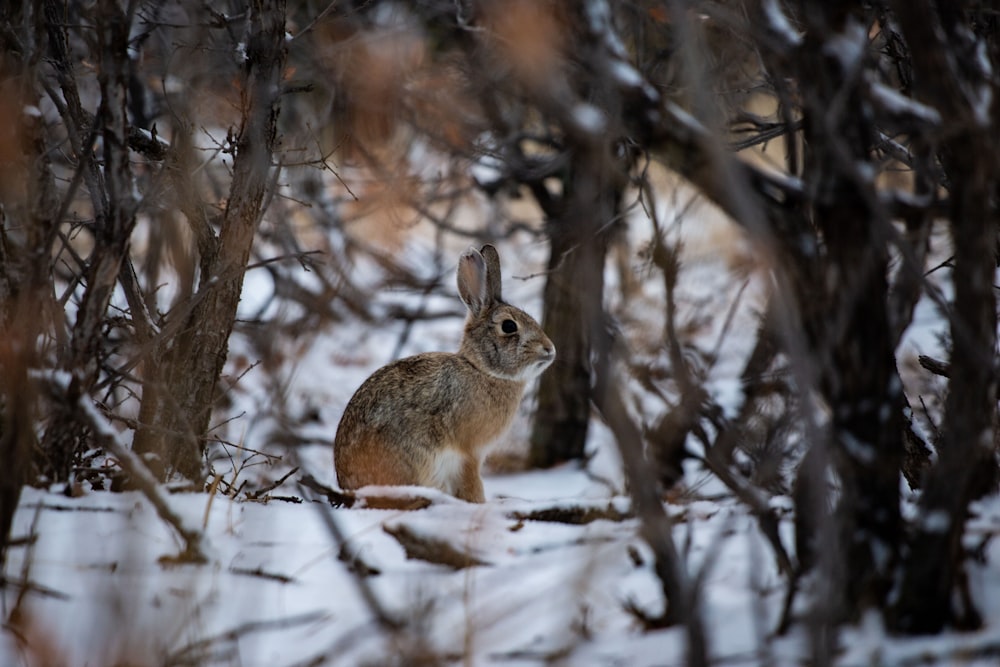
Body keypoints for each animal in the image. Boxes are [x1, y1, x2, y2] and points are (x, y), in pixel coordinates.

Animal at [334, 244, 556, 500]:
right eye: (509, 326)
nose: (550, 349)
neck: (483, 370)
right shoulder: (469, 453)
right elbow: (472, 483)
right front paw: (478, 503)